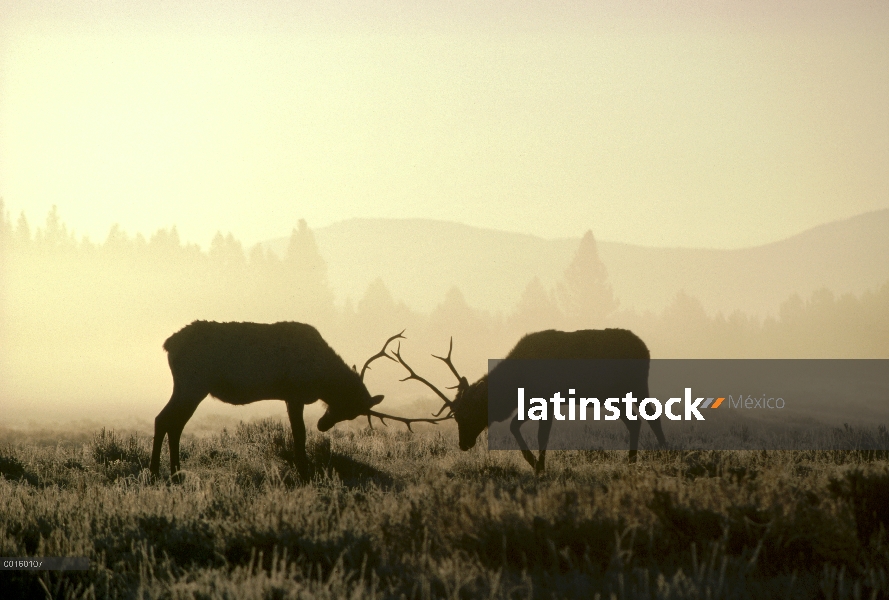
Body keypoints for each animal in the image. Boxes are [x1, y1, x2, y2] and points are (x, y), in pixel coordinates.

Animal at [152, 322, 438, 480]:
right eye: (343, 403)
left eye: (351, 414)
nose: (323, 425)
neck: (321, 376)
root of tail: (167, 344)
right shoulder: (295, 393)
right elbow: (299, 434)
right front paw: (304, 470)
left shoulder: (290, 396)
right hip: (193, 384)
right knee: (168, 420)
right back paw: (161, 472)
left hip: (186, 386)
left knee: (167, 421)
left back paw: (172, 472)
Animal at [396, 330, 664, 472]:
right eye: (456, 416)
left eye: (469, 413)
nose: (463, 444)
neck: (516, 383)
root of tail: (646, 349)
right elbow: (516, 426)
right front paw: (535, 463)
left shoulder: (547, 399)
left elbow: (540, 434)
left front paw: (539, 465)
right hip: (615, 395)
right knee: (636, 420)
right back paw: (632, 460)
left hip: (634, 386)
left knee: (652, 415)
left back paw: (661, 452)